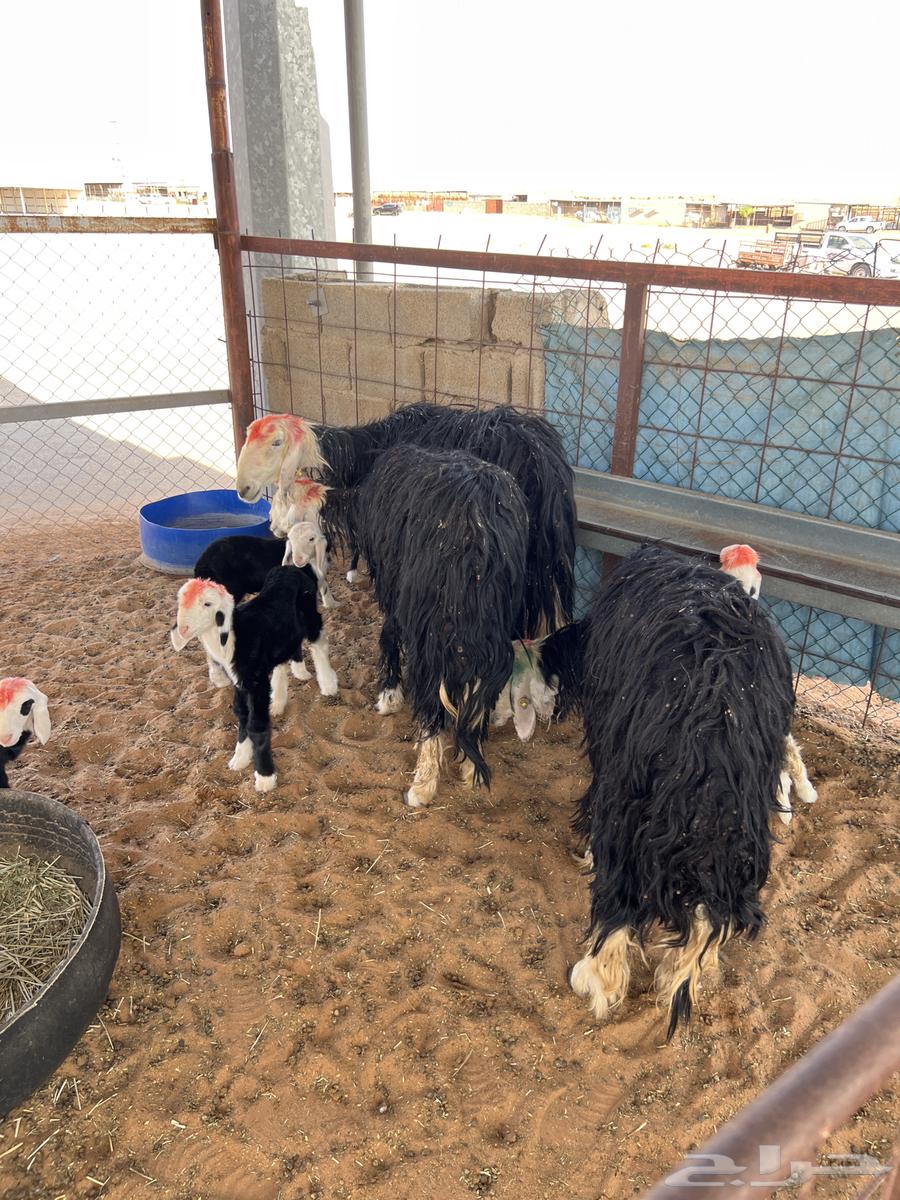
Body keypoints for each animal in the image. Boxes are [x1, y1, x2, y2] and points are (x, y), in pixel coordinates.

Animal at [169, 568, 338, 792]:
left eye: (207, 604)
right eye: (181, 602)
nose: (183, 629)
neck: (234, 638)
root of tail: (293, 568)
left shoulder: (256, 682)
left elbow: (256, 724)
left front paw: (265, 776)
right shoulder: (241, 683)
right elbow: (242, 715)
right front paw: (240, 758)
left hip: (310, 611)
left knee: (319, 642)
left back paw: (328, 684)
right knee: (283, 657)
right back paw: (279, 700)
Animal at [353, 444, 529, 808]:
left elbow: (390, 637)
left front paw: (389, 695)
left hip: (426, 622)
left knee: (430, 693)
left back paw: (423, 784)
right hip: (488, 629)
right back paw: (469, 765)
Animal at [509, 544, 804, 1037]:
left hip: (631, 802)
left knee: (621, 893)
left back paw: (596, 979)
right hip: (738, 828)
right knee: (713, 911)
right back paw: (681, 975)